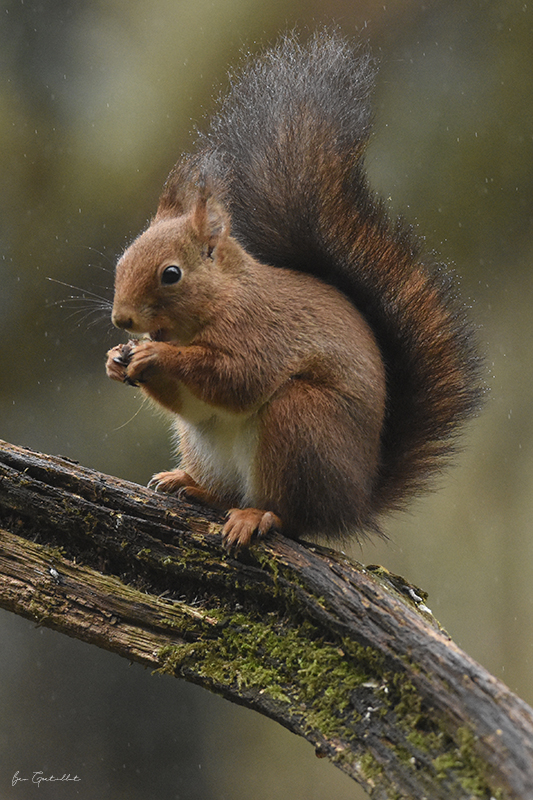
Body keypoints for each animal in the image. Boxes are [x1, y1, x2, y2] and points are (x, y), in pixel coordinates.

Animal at [105, 31, 482, 552]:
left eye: (171, 274)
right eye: (121, 260)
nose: (122, 320)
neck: (222, 299)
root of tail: (354, 503)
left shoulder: (263, 334)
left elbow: (237, 378)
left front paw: (155, 356)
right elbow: (192, 402)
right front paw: (116, 359)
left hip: (299, 423)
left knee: (292, 516)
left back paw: (256, 515)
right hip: (204, 444)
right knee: (226, 490)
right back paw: (192, 485)